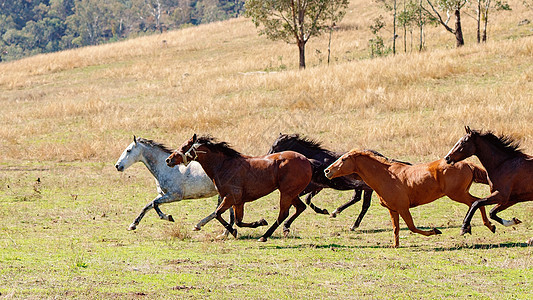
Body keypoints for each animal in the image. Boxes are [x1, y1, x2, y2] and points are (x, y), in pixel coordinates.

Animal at [166, 135, 312, 243]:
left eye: (184, 146)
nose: (168, 160)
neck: (224, 165)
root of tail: (307, 160)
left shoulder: (231, 197)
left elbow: (218, 214)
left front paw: (233, 231)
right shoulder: (238, 202)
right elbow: (238, 221)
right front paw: (257, 223)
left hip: (286, 193)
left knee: (283, 214)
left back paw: (264, 236)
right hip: (292, 193)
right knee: (300, 207)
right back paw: (284, 228)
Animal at [266, 134, 412, 230]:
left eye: (275, 145)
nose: (268, 156)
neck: (315, 158)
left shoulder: (315, 186)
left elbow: (304, 199)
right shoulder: (317, 187)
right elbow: (307, 199)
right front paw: (324, 211)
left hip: (368, 188)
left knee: (364, 205)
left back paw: (351, 224)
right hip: (363, 187)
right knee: (357, 199)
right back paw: (338, 213)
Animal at [324, 149, 494, 246]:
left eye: (344, 159)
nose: (327, 171)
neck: (387, 176)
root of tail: (467, 164)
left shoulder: (403, 208)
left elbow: (412, 227)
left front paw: (435, 231)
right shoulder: (393, 209)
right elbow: (396, 228)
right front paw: (395, 245)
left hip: (457, 194)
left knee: (477, 202)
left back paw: (485, 226)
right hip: (460, 193)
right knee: (477, 202)